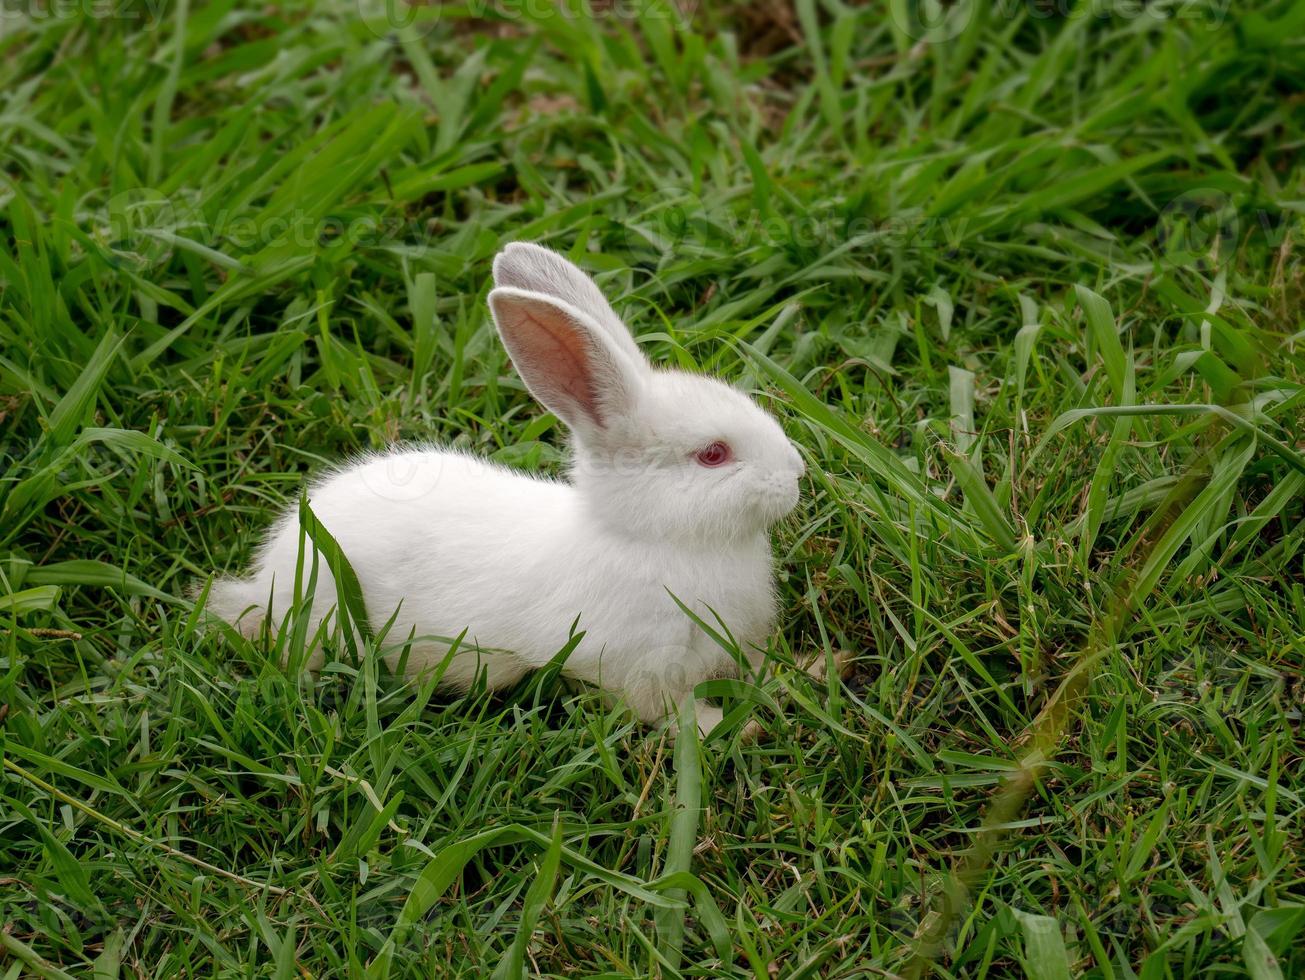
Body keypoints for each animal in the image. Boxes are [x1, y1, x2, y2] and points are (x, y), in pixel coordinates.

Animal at [208, 244, 803, 735]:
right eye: (713, 454)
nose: (797, 474)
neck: (658, 542)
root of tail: (267, 575)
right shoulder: (640, 668)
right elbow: (669, 710)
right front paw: (728, 727)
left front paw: (795, 678)